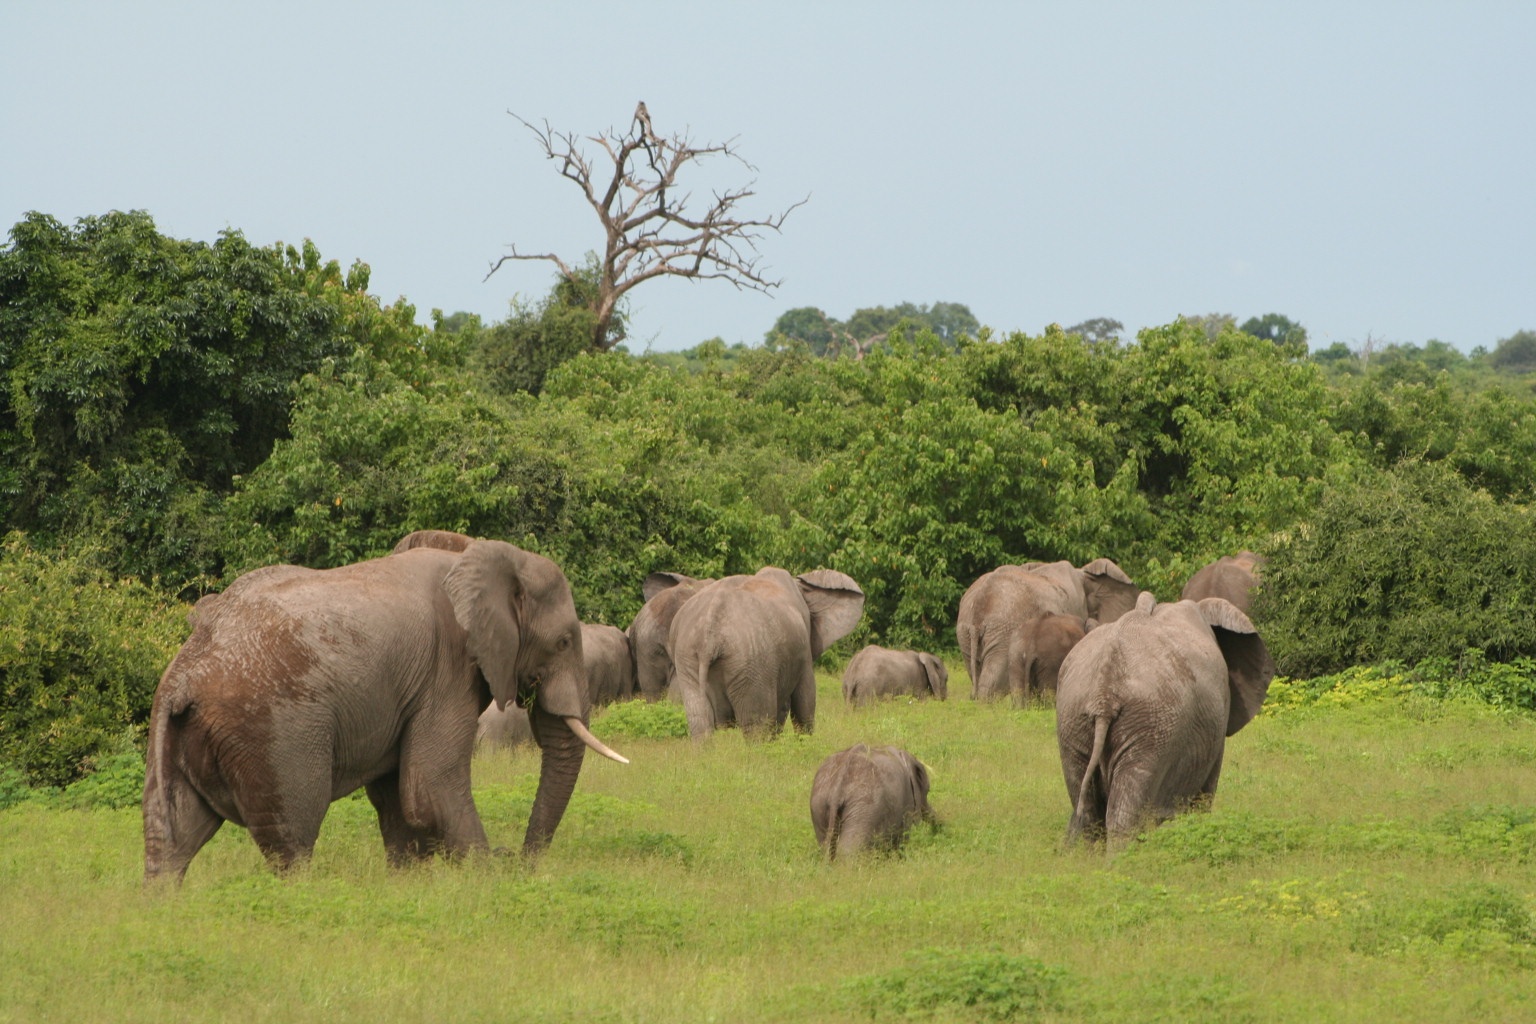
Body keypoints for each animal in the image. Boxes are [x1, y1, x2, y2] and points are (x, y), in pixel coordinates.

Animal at [141, 528, 626, 884]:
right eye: (564, 642)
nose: (520, 859)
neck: (477, 553)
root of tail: (184, 676)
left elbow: (397, 795)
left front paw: (410, 884)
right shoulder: (447, 668)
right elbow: (429, 786)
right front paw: (487, 873)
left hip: (179, 735)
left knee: (172, 838)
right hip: (272, 733)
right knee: (293, 835)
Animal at [669, 568, 872, 736]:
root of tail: (709, 634)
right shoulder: (802, 653)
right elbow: (804, 701)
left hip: (689, 659)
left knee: (700, 723)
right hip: (751, 666)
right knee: (757, 727)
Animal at [1056, 589, 1271, 847]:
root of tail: (1104, 692)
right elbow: (1205, 794)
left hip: (1074, 717)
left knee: (1087, 810)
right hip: (1152, 724)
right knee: (1125, 809)